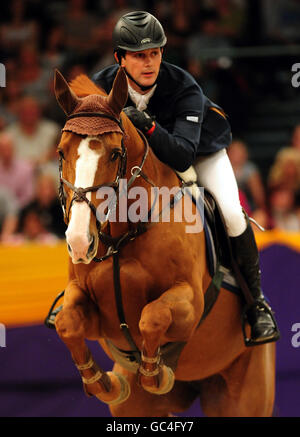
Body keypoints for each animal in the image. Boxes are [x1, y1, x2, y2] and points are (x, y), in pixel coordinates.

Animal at [52, 68, 276, 416]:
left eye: (115, 154)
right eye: (62, 152)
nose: (79, 241)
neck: (123, 235)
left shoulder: (190, 304)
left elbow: (153, 317)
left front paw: (154, 373)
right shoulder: (88, 305)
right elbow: (67, 323)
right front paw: (105, 384)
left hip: (244, 390)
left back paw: (261, 320)